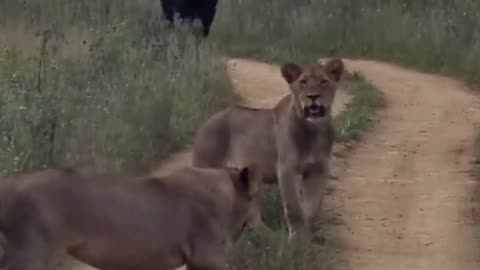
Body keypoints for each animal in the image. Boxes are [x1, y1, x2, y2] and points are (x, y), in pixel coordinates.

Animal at [0, 165, 258, 270]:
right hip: (31, 254)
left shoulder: (196, 262)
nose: (258, 220)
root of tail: (9, 184)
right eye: (256, 196)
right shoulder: (206, 257)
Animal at [191, 58, 344, 242]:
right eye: (303, 82)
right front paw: (297, 240)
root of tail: (205, 123)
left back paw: (269, 236)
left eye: (323, 81)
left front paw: (309, 237)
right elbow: (294, 208)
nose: (313, 97)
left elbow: (313, 207)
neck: (315, 130)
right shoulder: (287, 170)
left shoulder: (318, 170)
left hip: (252, 180)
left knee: (252, 217)